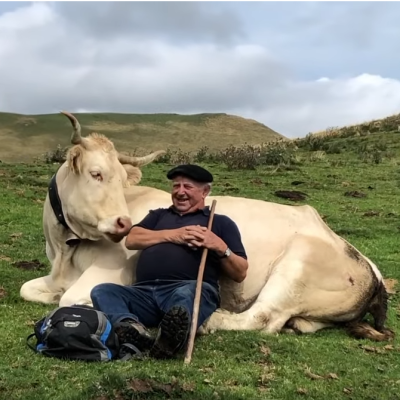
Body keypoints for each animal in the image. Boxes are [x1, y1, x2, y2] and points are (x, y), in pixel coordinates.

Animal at [20, 111, 392, 342]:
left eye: (121, 180)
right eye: (96, 174)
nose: (124, 223)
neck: (64, 251)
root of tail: (370, 269)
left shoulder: (105, 275)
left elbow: (69, 298)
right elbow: (29, 289)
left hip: (295, 267)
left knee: (261, 318)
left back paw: (207, 320)